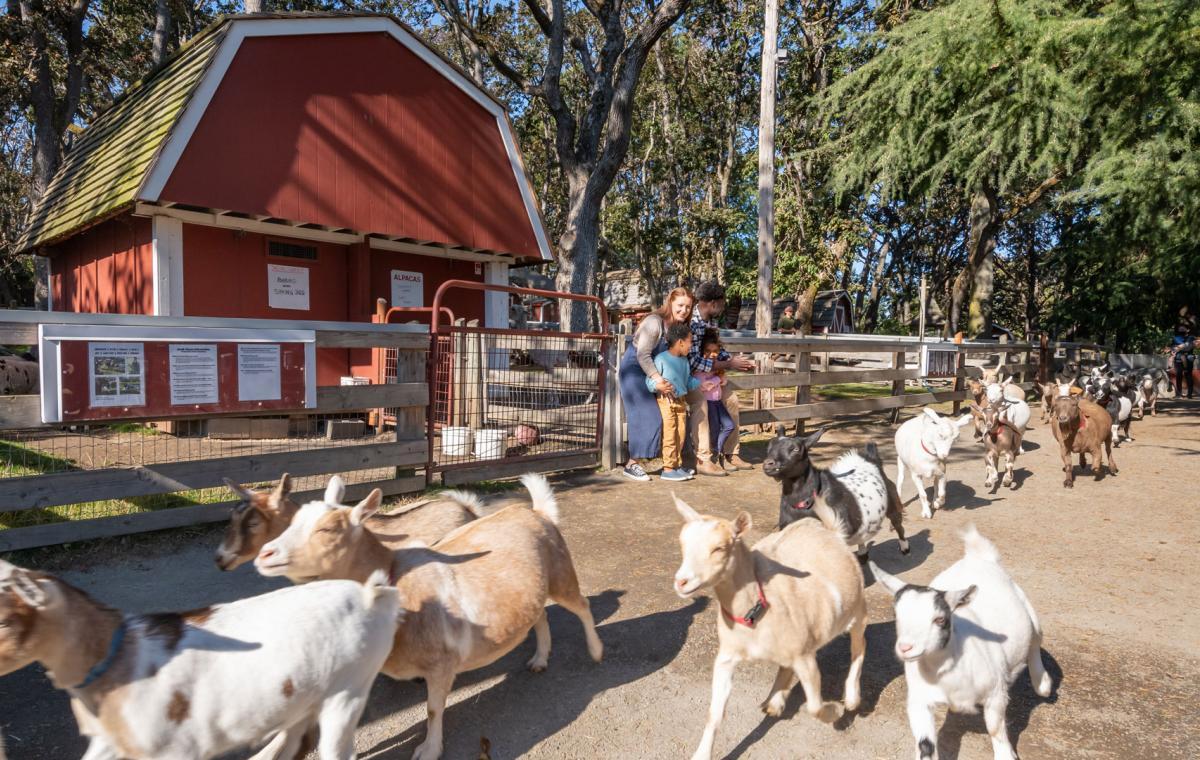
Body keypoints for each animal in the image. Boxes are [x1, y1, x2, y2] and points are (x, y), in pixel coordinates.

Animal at [0, 554, 400, 753]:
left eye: (4, 620)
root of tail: (372, 594)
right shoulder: (113, 742)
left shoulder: (175, 749)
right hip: (306, 693)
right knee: (294, 738)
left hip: (349, 689)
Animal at [258, 470, 604, 753]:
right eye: (293, 521)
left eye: (328, 529)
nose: (265, 554)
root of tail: (537, 511)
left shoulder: (441, 664)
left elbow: (434, 710)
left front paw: (429, 749)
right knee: (541, 615)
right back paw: (540, 659)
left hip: (561, 573)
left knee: (582, 606)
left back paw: (596, 651)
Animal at [672, 492, 868, 758]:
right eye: (682, 544)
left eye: (719, 548)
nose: (681, 582)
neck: (756, 610)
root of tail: (831, 532)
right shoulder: (726, 657)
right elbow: (715, 713)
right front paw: (701, 754)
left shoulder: (804, 656)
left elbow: (815, 707)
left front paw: (835, 712)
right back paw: (774, 702)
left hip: (857, 610)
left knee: (859, 646)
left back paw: (852, 698)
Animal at [868, 528, 1056, 758]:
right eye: (896, 614)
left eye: (940, 619)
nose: (905, 648)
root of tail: (979, 557)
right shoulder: (919, 701)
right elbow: (925, 746)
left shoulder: (996, 693)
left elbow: (995, 728)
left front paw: (1006, 754)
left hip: (1028, 609)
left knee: (1036, 639)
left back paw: (1042, 683)